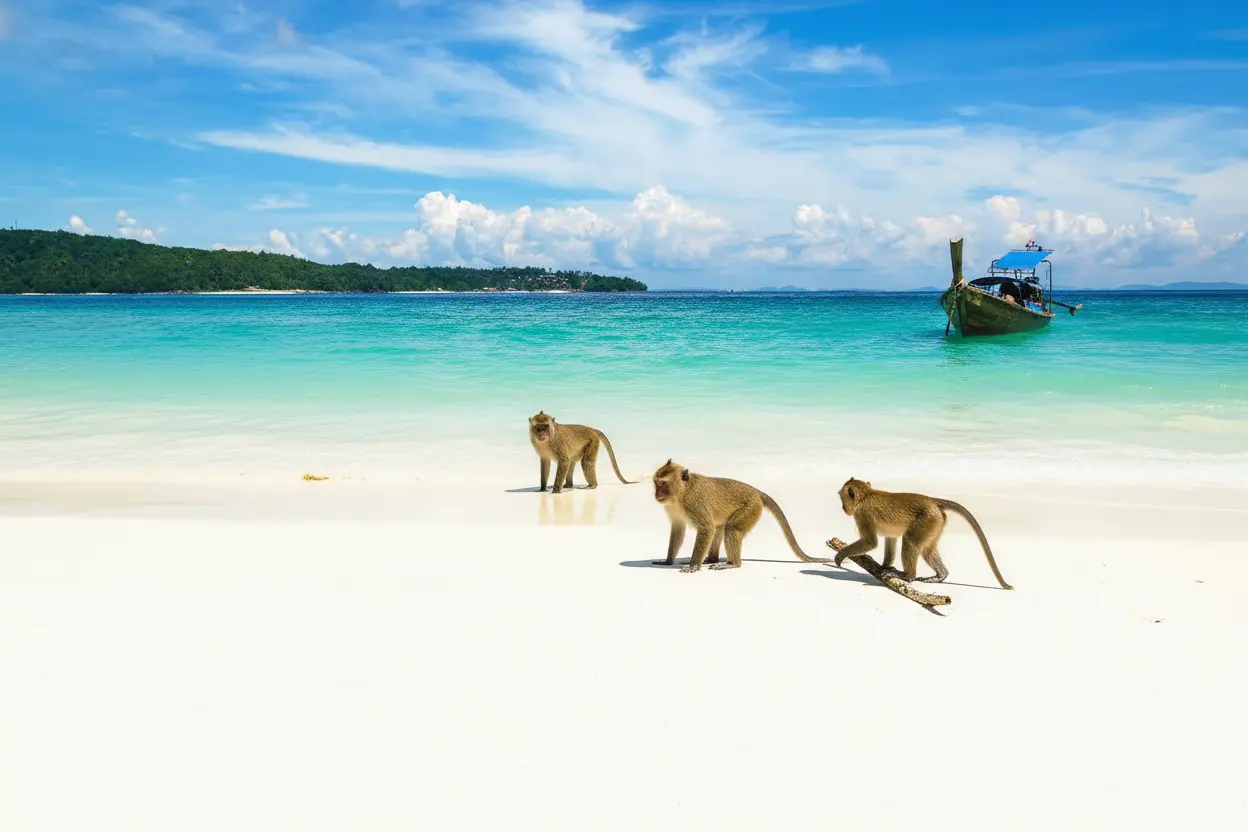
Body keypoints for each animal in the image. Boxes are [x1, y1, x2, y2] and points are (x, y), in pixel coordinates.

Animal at [649, 459, 833, 573]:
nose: (657, 495)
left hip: (751, 509)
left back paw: (733, 564)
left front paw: (694, 566)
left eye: (663, 483)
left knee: (731, 529)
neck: (682, 493)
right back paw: (712, 559)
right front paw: (667, 561)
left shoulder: (694, 502)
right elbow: (678, 530)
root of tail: (756, 492)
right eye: (656, 483)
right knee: (720, 528)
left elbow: (706, 528)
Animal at [832, 477, 1013, 590]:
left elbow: (870, 542)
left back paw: (907, 575)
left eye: (842, 498)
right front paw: (883, 566)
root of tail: (932, 501)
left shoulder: (863, 514)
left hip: (927, 520)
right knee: (927, 549)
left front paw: (841, 555)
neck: (866, 495)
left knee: (910, 541)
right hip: (936, 522)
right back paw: (941, 575)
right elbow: (890, 538)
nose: (843, 508)